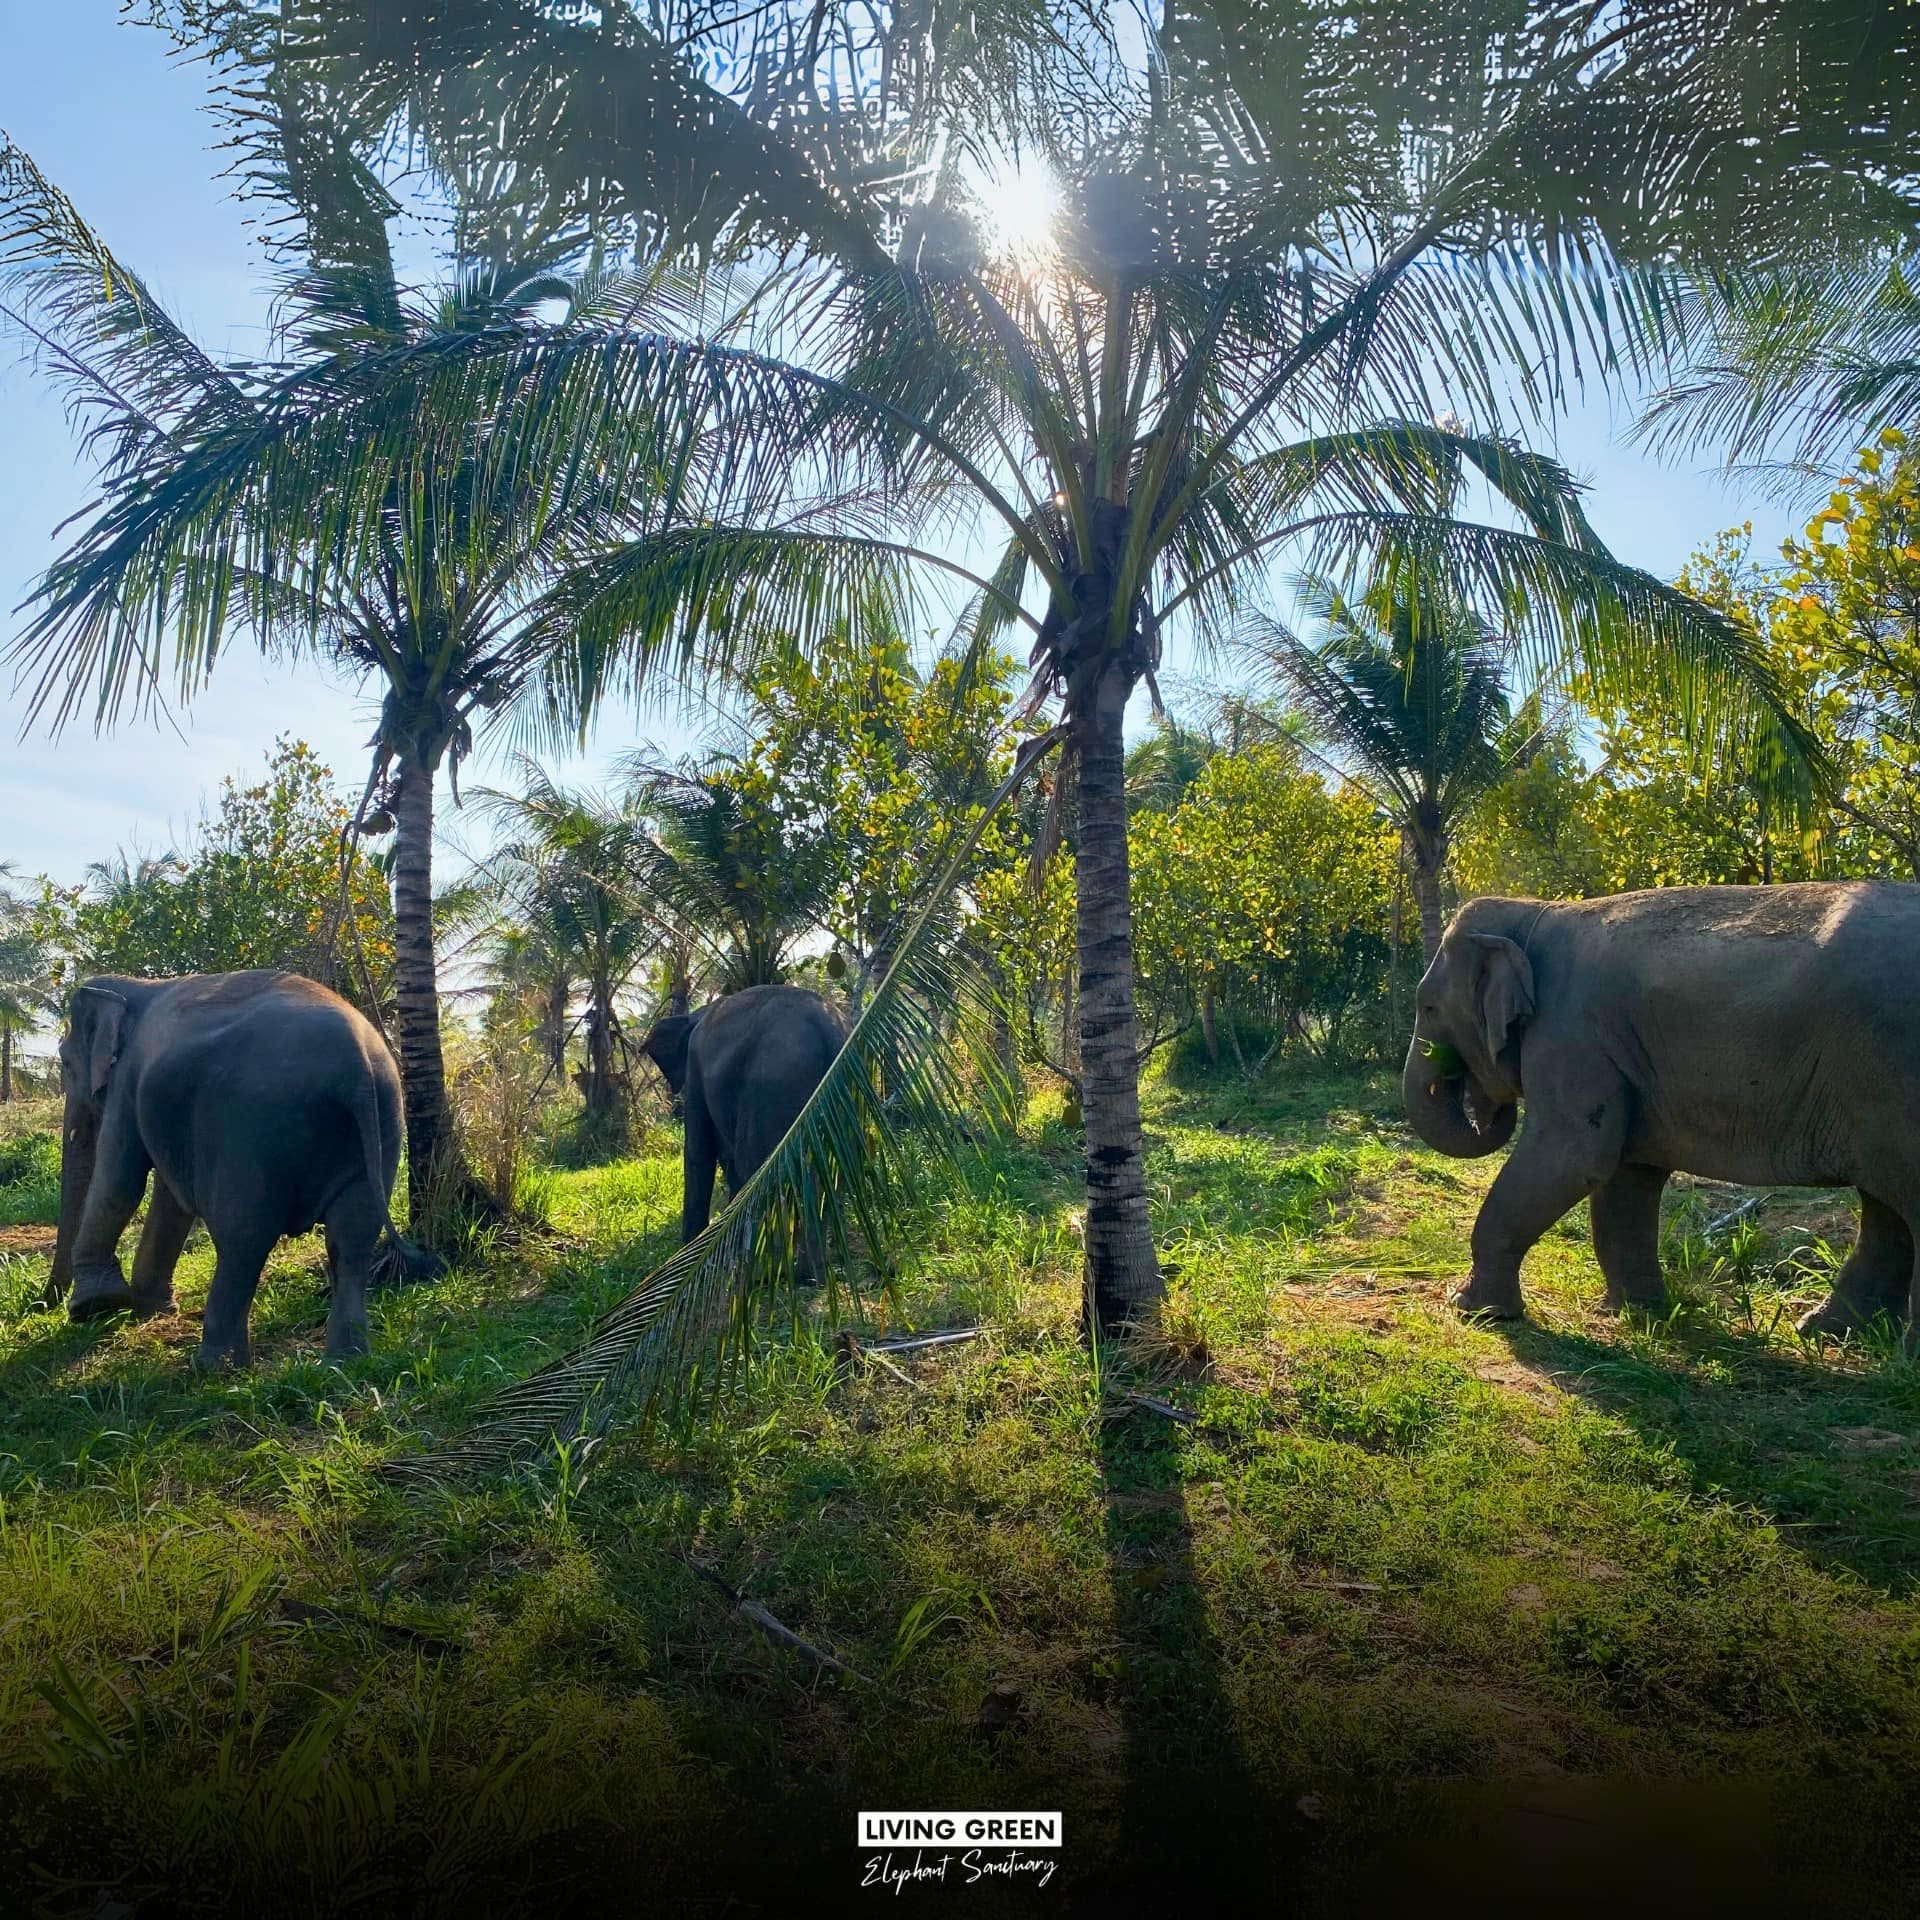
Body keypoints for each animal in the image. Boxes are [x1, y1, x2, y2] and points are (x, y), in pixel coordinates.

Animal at [49, 970, 439, 1367]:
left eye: (64, 1063)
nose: (49, 1304)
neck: (135, 986)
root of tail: (357, 1066)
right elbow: (169, 1201)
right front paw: (150, 1310)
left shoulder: (128, 1081)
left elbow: (120, 1181)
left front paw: (94, 1306)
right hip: (383, 1118)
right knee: (352, 1236)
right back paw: (345, 1361)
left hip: (251, 1129)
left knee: (242, 1239)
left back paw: (212, 1367)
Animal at [1402, 883, 1920, 1339]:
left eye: (1427, 1007)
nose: (1484, 1106)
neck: (1533, 910)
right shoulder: (1617, 1051)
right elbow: (1626, 1177)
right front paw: (1637, 1315)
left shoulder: (1572, 1029)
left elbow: (1574, 1156)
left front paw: (1473, 1310)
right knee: (1886, 1210)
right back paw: (1829, 1334)